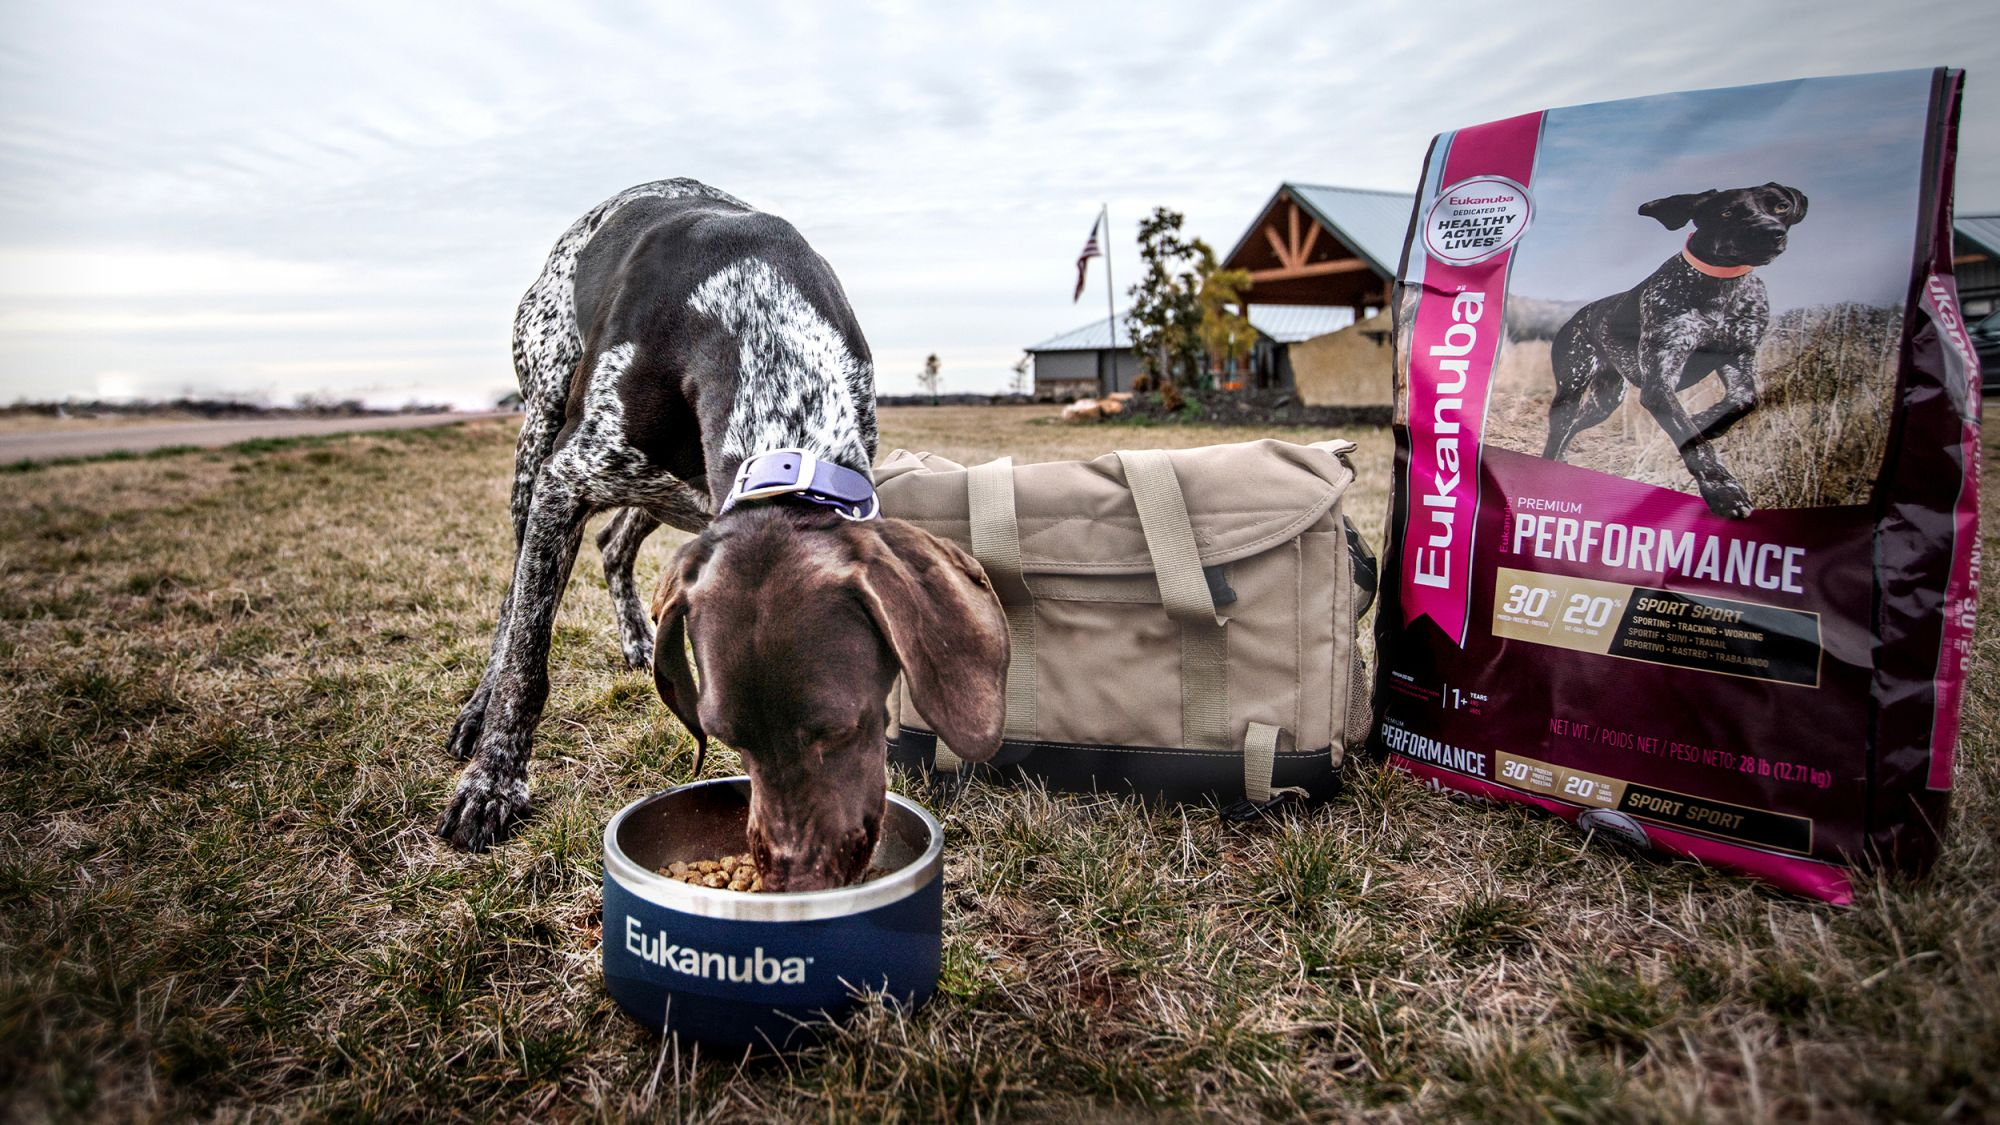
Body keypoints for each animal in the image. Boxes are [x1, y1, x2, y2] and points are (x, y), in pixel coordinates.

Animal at [434, 182, 1000, 884]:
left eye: (848, 729)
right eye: (732, 737)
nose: (801, 872)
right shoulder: (564, 480)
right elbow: (527, 658)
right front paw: (494, 781)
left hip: (669, 494)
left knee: (613, 544)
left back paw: (637, 638)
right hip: (538, 440)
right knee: (514, 602)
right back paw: (480, 710)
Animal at [1536, 180, 1808, 516]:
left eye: (1781, 206)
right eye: (1726, 212)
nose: (1772, 232)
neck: (1721, 286)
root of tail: (1576, 317)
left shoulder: (1739, 359)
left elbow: (1745, 399)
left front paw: (1706, 422)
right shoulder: (1659, 383)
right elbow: (1694, 442)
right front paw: (1724, 490)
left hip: (1606, 400)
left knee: (1573, 427)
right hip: (1572, 387)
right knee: (1558, 432)